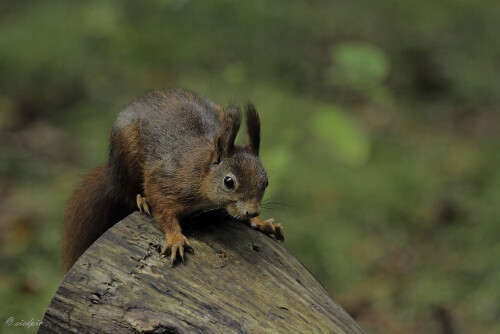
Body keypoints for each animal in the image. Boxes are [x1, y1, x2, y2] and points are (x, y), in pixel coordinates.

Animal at [62, 88, 284, 272]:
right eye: (229, 182)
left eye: (266, 182)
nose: (253, 211)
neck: (201, 170)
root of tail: (110, 172)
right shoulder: (166, 180)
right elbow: (163, 208)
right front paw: (176, 239)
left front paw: (261, 222)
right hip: (126, 154)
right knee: (126, 192)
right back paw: (141, 199)